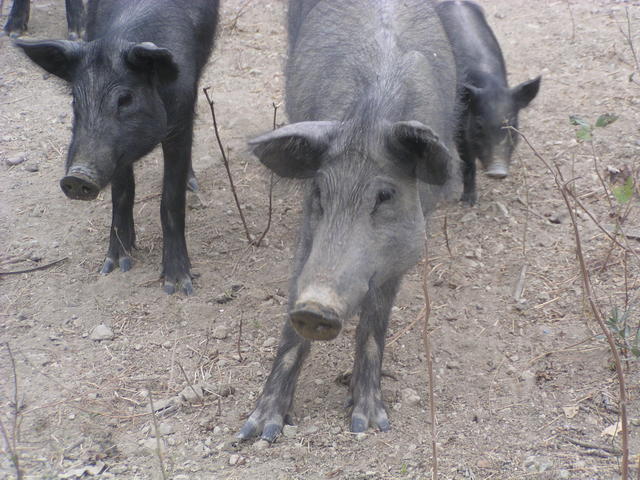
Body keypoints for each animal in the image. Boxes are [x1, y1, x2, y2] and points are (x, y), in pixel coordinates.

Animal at [15, 0, 218, 294]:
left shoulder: (180, 119)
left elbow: (171, 198)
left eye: (125, 99)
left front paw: (177, 286)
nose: (77, 176)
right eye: (74, 100)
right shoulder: (119, 152)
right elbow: (121, 192)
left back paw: (193, 184)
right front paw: (115, 265)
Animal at [238, 0, 459, 442]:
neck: (370, 117)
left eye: (385, 195)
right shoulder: (310, 233)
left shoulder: (402, 251)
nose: (314, 308)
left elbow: (374, 323)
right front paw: (259, 432)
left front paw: (368, 424)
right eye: (320, 192)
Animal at [436, 0, 541, 205]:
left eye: (512, 125)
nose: (497, 172)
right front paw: (467, 203)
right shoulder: (460, 129)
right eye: (478, 125)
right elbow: (467, 162)